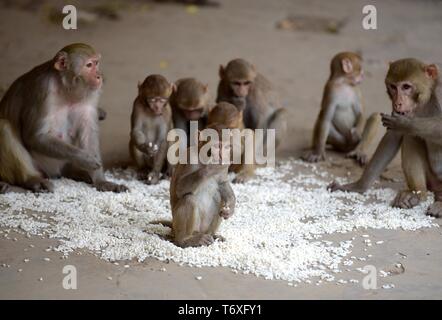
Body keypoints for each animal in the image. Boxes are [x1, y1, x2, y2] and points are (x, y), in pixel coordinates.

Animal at [0, 43, 128, 194]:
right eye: (89, 65)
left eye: (96, 63)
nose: (99, 76)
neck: (66, 88)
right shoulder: (42, 89)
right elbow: (35, 137)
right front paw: (84, 158)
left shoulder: (91, 95)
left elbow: (88, 134)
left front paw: (101, 181)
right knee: (4, 127)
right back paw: (31, 179)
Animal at [328, 57, 442, 218]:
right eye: (393, 87)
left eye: (406, 87)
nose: (397, 103)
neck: (425, 101)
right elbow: (393, 137)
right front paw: (357, 186)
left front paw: (406, 124)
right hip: (431, 181)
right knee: (410, 137)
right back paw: (417, 195)